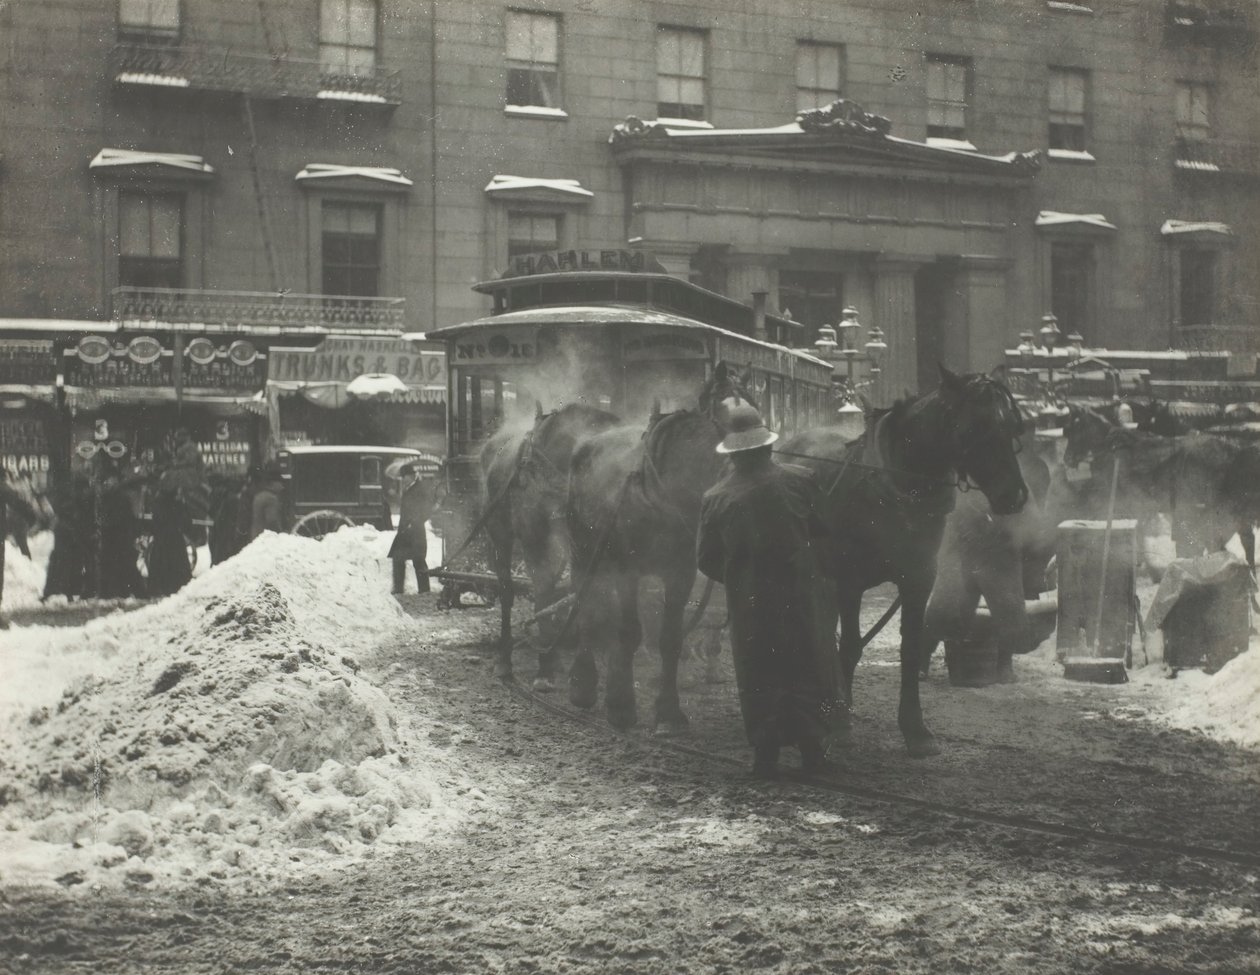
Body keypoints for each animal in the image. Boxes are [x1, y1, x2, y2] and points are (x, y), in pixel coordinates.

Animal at [476, 405, 619, 685]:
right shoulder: (536, 538)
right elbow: (542, 590)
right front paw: (544, 671)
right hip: (499, 532)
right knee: (507, 589)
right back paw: (505, 659)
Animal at [569, 367, 745, 735]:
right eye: (728, 414)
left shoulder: (680, 573)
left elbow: (670, 638)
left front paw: (668, 712)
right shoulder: (627, 570)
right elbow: (629, 632)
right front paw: (621, 706)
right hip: (584, 551)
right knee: (586, 605)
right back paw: (583, 682)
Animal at [776, 370, 1033, 760]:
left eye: (1012, 426)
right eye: (975, 427)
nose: (1014, 496)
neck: (897, 486)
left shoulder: (918, 579)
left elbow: (910, 648)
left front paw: (915, 730)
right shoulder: (850, 581)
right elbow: (850, 646)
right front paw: (841, 724)